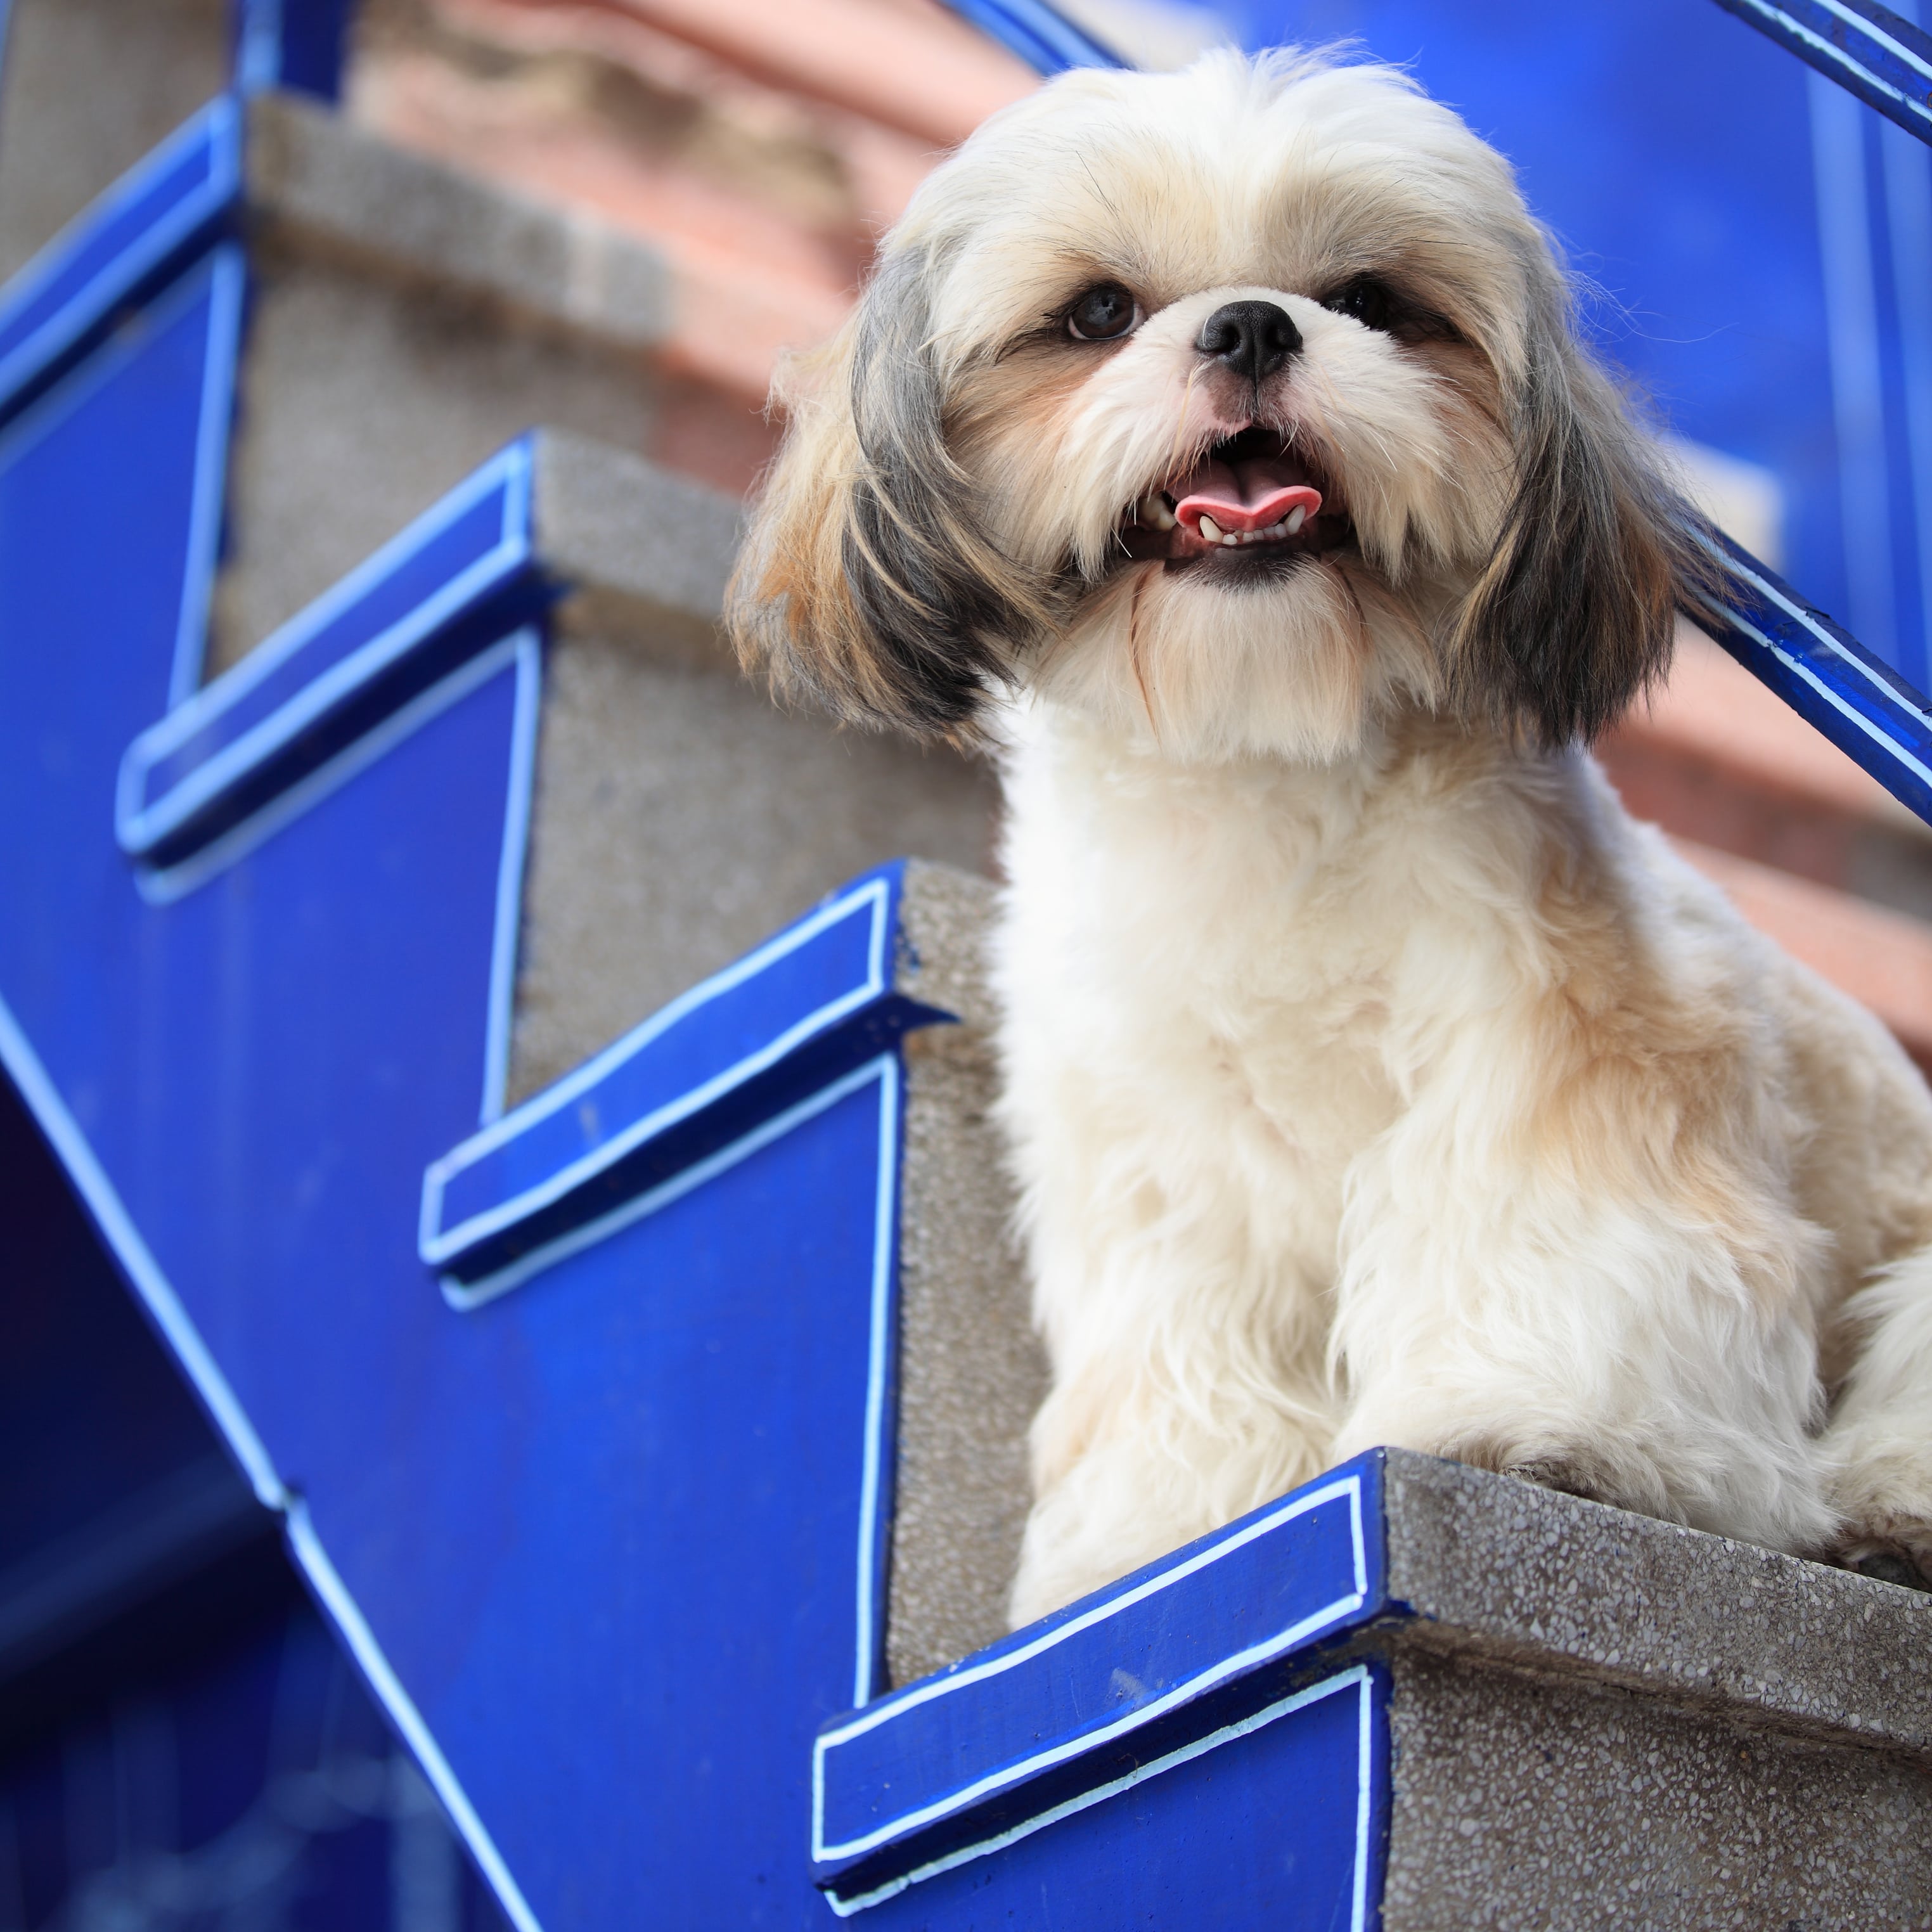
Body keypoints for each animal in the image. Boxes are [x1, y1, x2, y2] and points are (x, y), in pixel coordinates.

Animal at [722, 45, 1932, 1623]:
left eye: (1372, 299)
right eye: (1097, 313)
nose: (1249, 323)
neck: (1264, 749)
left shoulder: (1562, 1040)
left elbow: (1536, 1228)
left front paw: (1538, 1424)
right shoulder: (1163, 1153)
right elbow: (1182, 1333)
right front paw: (1167, 1516)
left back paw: (1890, 1511)